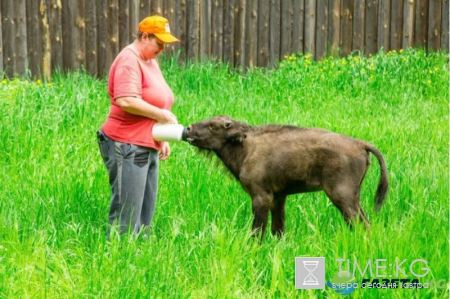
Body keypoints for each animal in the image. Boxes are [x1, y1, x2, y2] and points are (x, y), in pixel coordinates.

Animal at [185, 115, 388, 241]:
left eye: (213, 126)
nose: (188, 129)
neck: (244, 147)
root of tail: (360, 144)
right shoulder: (278, 197)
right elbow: (278, 229)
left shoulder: (261, 197)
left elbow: (258, 230)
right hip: (353, 197)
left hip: (341, 195)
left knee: (361, 223)